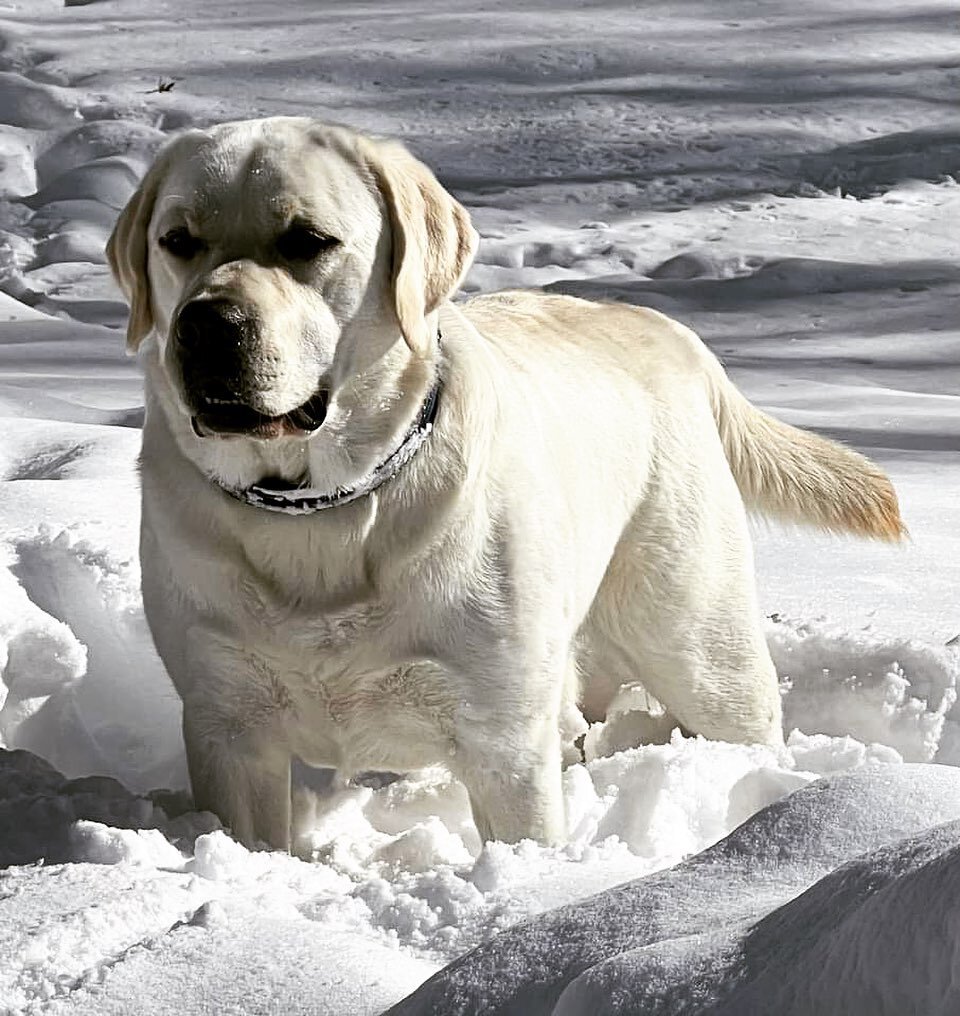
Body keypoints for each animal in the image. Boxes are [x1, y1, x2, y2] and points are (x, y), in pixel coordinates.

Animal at [108, 116, 902, 849]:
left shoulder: (502, 739)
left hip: (699, 642)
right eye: (177, 240)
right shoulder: (227, 727)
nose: (207, 326)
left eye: (307, 240)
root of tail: (666, 330)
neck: (319, 507)